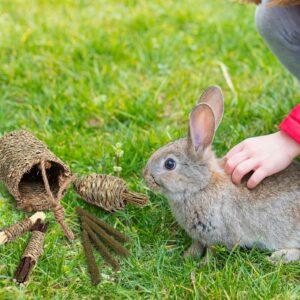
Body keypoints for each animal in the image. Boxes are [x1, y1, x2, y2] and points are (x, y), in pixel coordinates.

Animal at [143, 86, 300, 262]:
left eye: (169, 164)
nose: (145, 176)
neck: (202, 186)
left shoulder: (217, 233)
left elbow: (212, 251)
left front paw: (204, 264)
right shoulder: (199, 236)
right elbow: (196, 245)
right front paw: (187, 257)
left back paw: (280, 256)